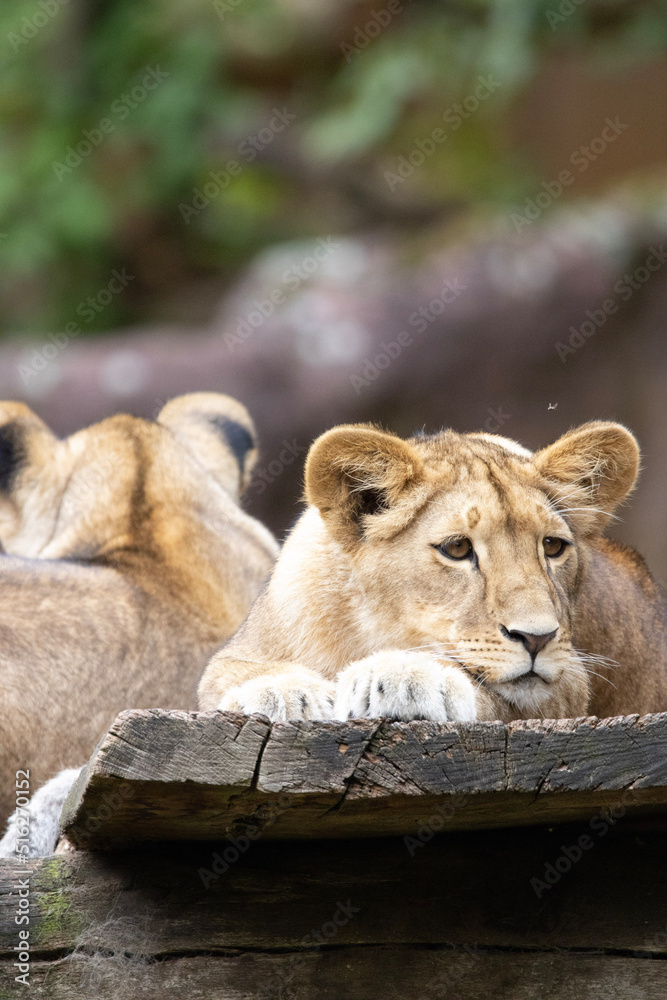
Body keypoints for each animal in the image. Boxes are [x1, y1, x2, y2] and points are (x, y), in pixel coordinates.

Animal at [199, 420, 666, 723]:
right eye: (458, 548)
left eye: (552, 547)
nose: (537, 638)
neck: (370, 628)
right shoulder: (241, 650)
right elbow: (223, 674)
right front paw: (282, 691)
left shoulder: (570, 680)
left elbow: (493, 695)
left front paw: (407, 676)